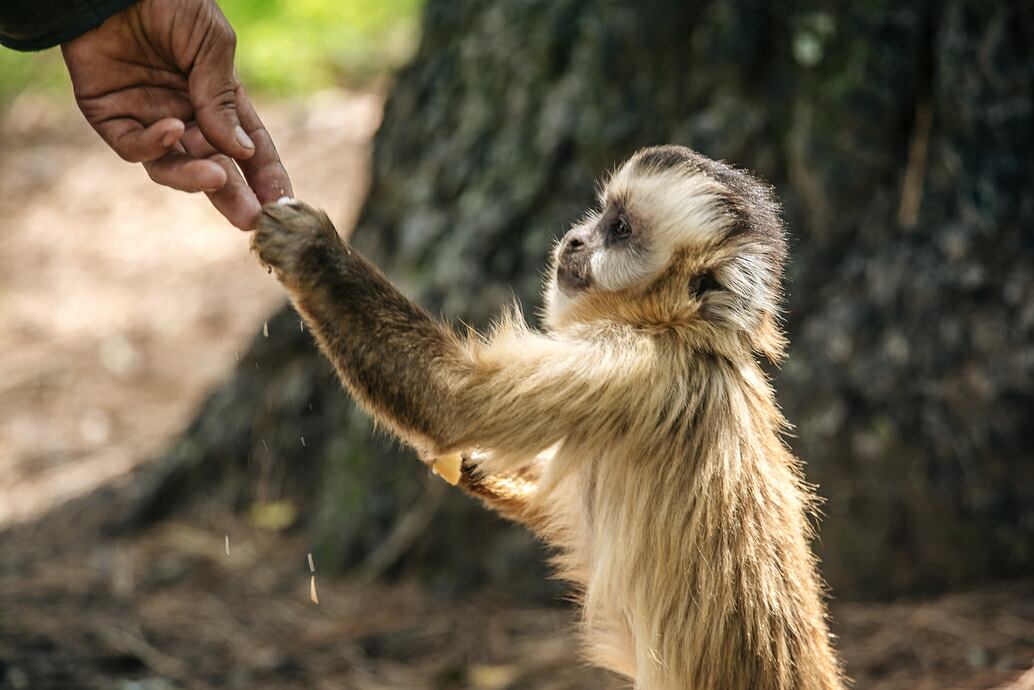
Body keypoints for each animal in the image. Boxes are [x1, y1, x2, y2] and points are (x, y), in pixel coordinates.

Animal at [251, 145, 845, 690]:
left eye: (619, 229)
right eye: (601, 215)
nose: (577, 238)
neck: (687, 335)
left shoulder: (632, 363)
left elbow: (453, 403)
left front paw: (313, 252)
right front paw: (474, 469)